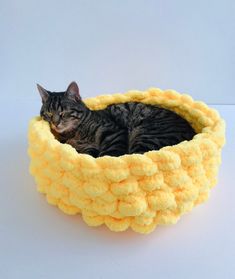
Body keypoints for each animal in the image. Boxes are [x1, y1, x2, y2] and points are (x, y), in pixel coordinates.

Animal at [36, 82, 196, 159]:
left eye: (63, 112)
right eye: (49, 113)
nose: (55, 123)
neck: (74, 133)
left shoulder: (113, 131)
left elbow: (109, 155)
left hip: (145, 134)